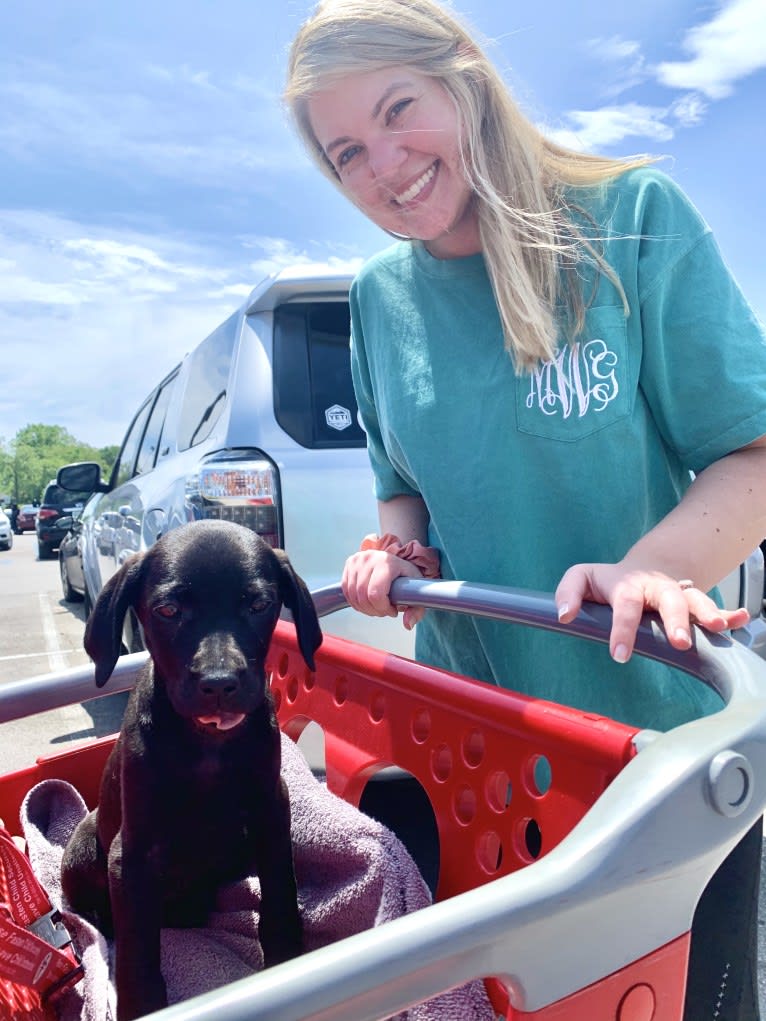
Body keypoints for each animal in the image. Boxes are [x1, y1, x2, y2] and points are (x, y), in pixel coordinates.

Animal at [60, 522, 320, 1016]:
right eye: (169, 610)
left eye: (258, 605)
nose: (219, 685)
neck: (208, 745)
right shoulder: (133, 854)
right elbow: (138, 947)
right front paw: (141, 1004)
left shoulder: (271, 814)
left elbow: (281, 890)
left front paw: (286, 957)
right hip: (82, 845)